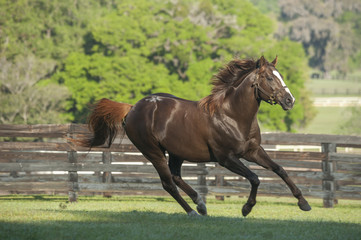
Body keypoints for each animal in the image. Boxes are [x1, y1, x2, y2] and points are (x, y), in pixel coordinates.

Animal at [76, 56, 310, 218]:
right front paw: (246, 208)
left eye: (281, 76)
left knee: (176, 177)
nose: (290, 101)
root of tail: (132, 108)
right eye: (270, 77)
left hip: (176, 152)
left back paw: (201, 203)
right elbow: (255, 178)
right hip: (153, 152)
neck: (232, 115)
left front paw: (303, 203)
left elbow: (280, 169)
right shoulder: (226, 158)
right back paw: (193, 211)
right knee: (168, 183)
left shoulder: (253, 151)